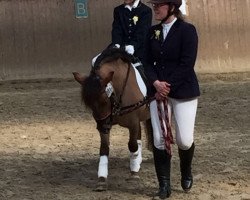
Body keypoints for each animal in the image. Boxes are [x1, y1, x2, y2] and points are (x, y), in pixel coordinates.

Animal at [73, 47, 153, 191]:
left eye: (104, 100)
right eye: (89, 104)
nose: (103, 127)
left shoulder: (133, 122)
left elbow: (132, 145)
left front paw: (133, 174)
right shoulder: (107, 122)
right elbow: (104, 148)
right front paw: (101, 179)